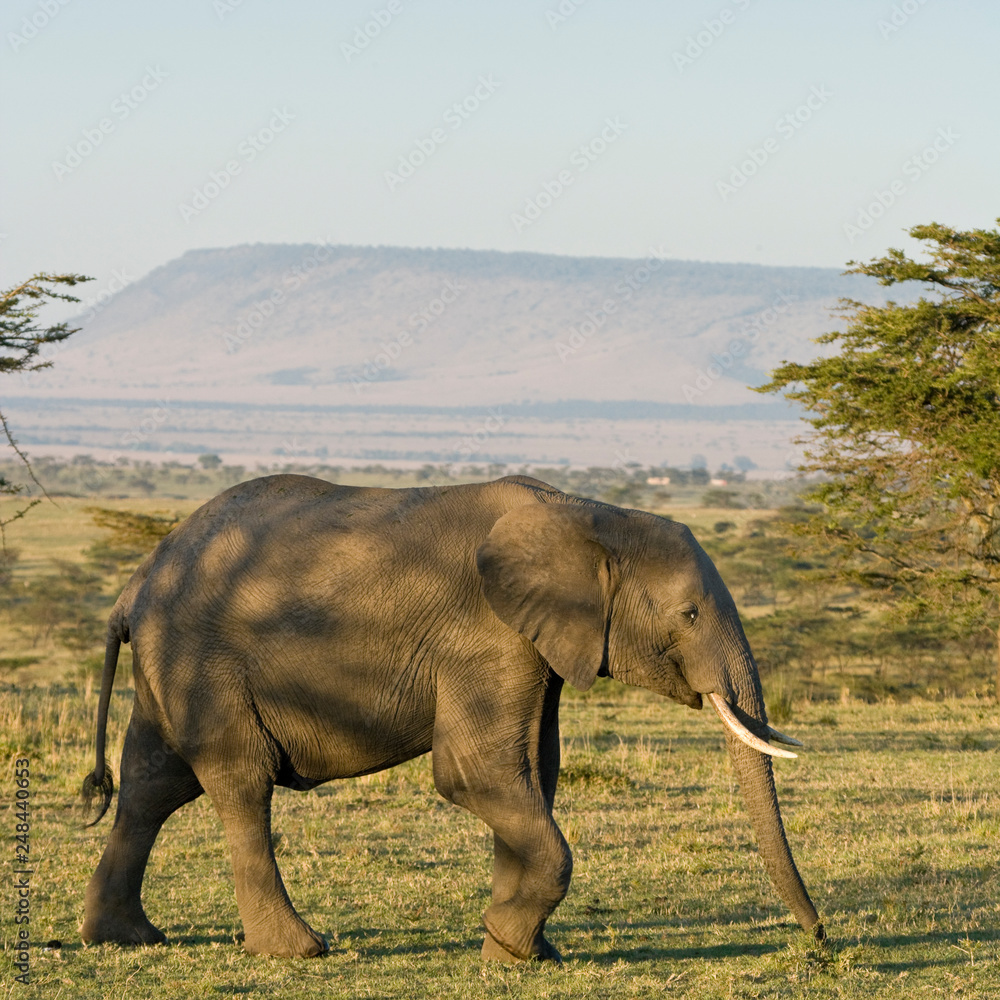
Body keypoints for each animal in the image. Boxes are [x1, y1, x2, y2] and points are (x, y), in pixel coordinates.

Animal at [80, 473, 823, 961]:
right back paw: (298, 950)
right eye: (690, 615)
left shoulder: (531, 644)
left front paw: (517, 952)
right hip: (204, 662)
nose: (818, 939)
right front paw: (512, 944)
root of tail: (133, 584)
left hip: (170, 665)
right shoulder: (485, 633)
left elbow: (533, 774)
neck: (588, 516)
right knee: (240, 782)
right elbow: (477, 775)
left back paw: (124, 938)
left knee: (151, 783)